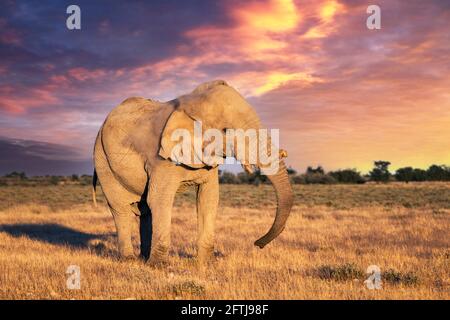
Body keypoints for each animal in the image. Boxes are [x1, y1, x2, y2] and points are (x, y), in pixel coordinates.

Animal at [93, 80, 294, 268]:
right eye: (226, 131)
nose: (257, 244)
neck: (191, 104)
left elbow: (209, 198)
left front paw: (208, 264)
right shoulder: (160, 159)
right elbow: (160, 199)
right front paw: (159, 267)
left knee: (145, 211)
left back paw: (144, 258)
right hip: (102, 159)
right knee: (120, 208)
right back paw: (130, 260)